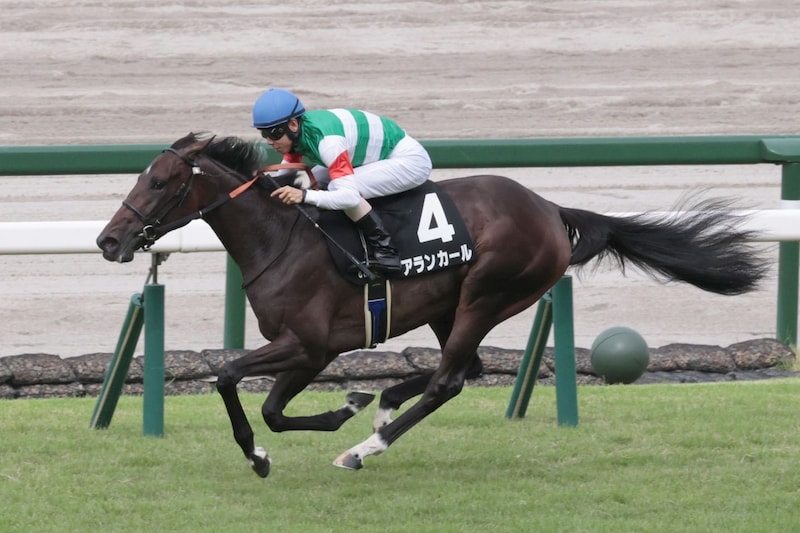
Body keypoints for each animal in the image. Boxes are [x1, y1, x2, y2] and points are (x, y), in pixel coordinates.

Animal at [96, 132, 767, 477]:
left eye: (159, 182)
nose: (108, 240)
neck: (281, 238)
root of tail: (550, 209)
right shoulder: (311, 352)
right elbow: (274, 409)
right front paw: (344, 406)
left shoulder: (310, 344)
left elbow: (232, 379)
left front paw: (263, 454)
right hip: (453, 306)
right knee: (464, 369)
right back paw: (384, 404)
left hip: (489, 293)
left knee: (449, 379)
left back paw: (364, 448)